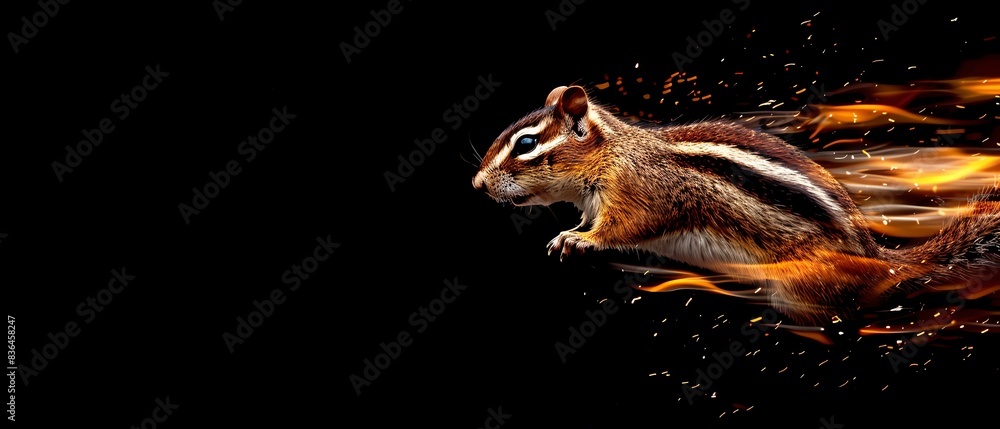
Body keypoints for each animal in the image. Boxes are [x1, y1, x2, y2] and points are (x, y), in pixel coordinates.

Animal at [472, 85, 1000, 325]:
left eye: (525, 144)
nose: (476, 183)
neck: (616, 153)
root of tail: (878, 257)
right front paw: (572, 230)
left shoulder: (642, 194)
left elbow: (621, 229)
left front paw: (577, 238)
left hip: (802, 283)